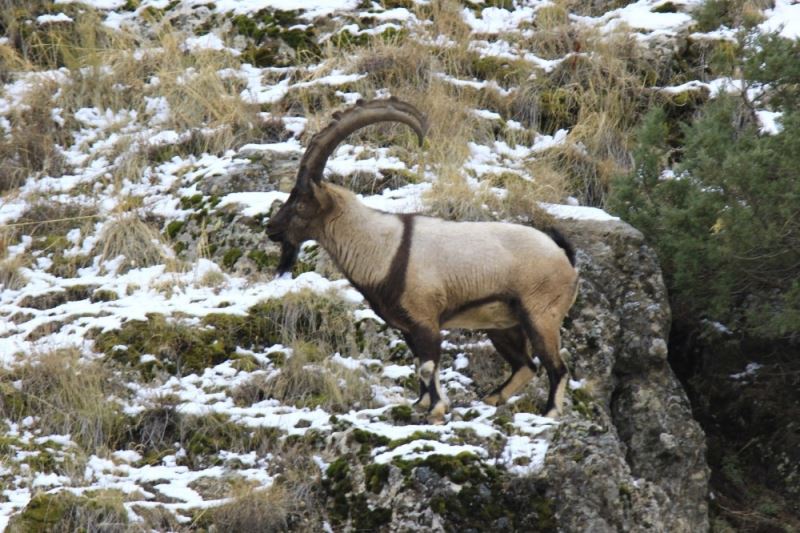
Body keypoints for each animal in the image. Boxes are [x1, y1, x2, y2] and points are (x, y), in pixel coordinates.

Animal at [266, 97, 580, 424]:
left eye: (301, 203)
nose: (271, 228)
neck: (384, 248)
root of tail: (564, 257)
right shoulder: (407, 327)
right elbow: (419, 366)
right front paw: (421, 404)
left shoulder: (426, 319)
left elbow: (428, 366)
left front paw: (437, 409)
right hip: (502, 324)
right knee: (526, 365)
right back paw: (492, 399)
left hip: (541, 315)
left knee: (557, 367)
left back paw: (550, 412)